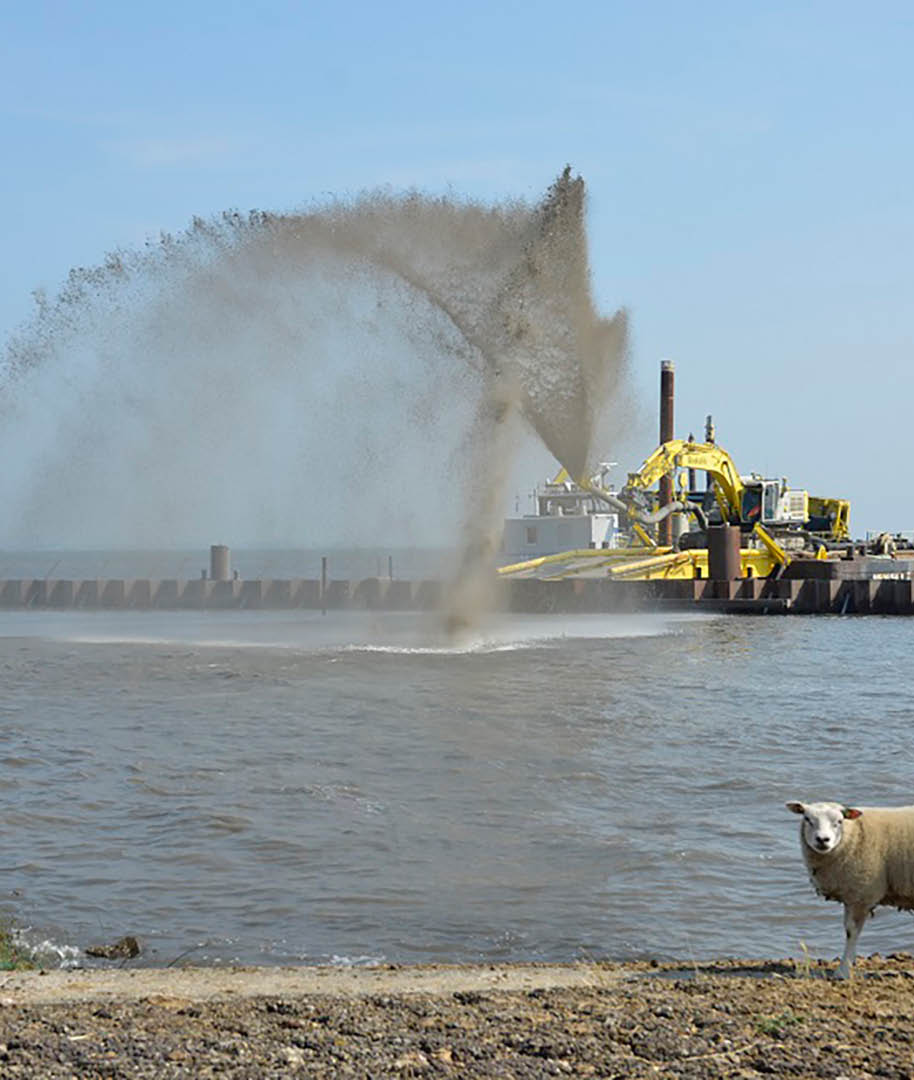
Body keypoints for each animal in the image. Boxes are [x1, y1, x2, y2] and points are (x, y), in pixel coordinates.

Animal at [786, 803, 914, 980]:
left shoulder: (861, 894)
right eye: (807, 819)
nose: (822, 839)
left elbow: (851, 932)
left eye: (839, 821)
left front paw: (843, 971)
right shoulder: (852, 896)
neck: (854, 834)